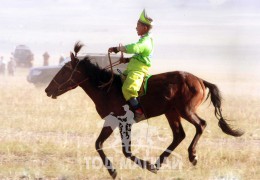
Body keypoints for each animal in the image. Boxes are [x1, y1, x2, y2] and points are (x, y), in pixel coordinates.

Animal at [45, 42, 244, 179]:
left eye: (64, 70)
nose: (47, 90)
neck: (107, 88)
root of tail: (200, 80)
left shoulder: (123, 122)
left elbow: (126, 151)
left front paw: (140, 166)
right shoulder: (111, 121)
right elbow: (98, 144)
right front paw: (113, 171)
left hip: (185, 110)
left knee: (201, 125)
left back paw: (191, 155)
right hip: (172, 112)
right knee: (179, 135)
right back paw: (157, 164)